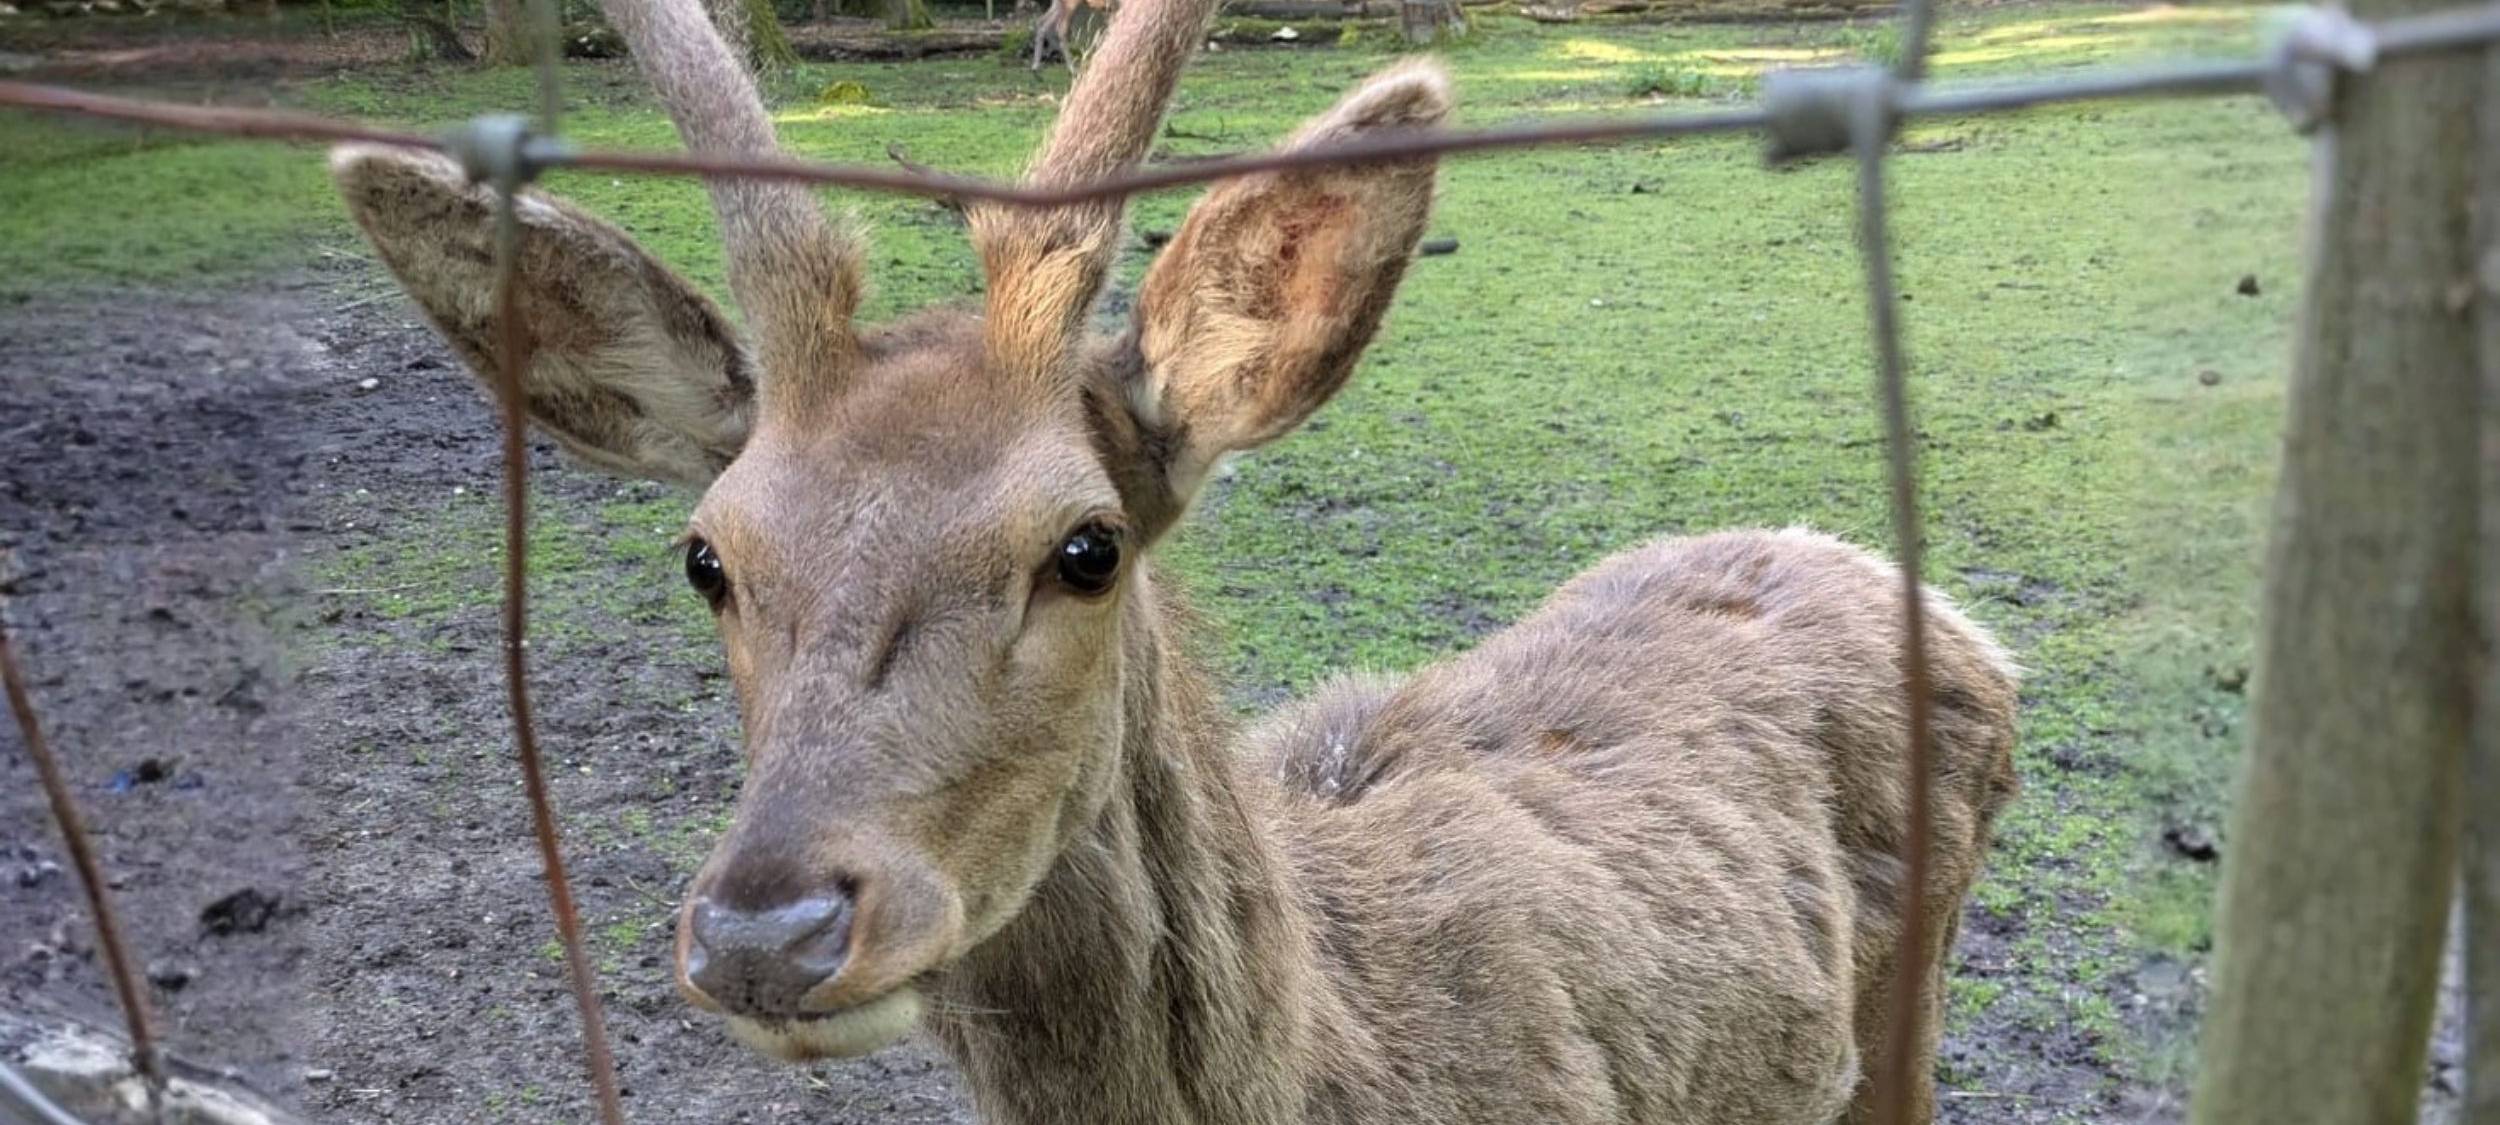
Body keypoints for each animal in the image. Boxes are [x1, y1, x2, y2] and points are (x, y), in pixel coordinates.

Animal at [324, 0, 2021, 1114]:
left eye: (1085, 546)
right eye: (707, 556)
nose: (765, 933)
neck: (1371, 1057)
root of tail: (1954, 618)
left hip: (1916, 991)